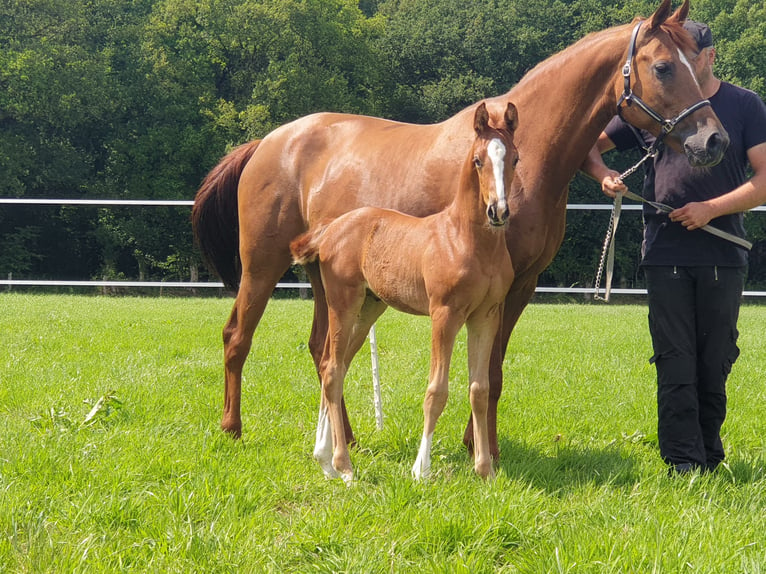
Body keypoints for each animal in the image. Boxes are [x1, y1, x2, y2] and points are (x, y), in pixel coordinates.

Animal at [292, 101, 520, 484]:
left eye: (515, 158)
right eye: (478, 160)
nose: (498, 211)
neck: (467, 240)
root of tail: (332, 228)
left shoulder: (486, 316)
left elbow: (480, 389)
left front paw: (485, 470)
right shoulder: (444, 314)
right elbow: (436, 391)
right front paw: (420, 468)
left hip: (369, 308)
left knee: (332, 366)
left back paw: (323, 460)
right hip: (343, 303)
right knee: (334, 370)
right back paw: (344, 466)